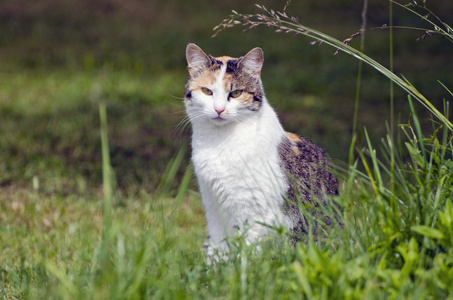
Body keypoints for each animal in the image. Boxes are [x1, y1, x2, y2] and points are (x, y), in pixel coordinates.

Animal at [185, 42, 340, 260]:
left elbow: (248, 252)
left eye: (235, 93)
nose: (219, 109)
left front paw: (239, 267)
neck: (219, 141)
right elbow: (217, 247)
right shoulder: (213, 205)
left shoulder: (256, 212)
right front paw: (214, 267)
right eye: (207, 91)